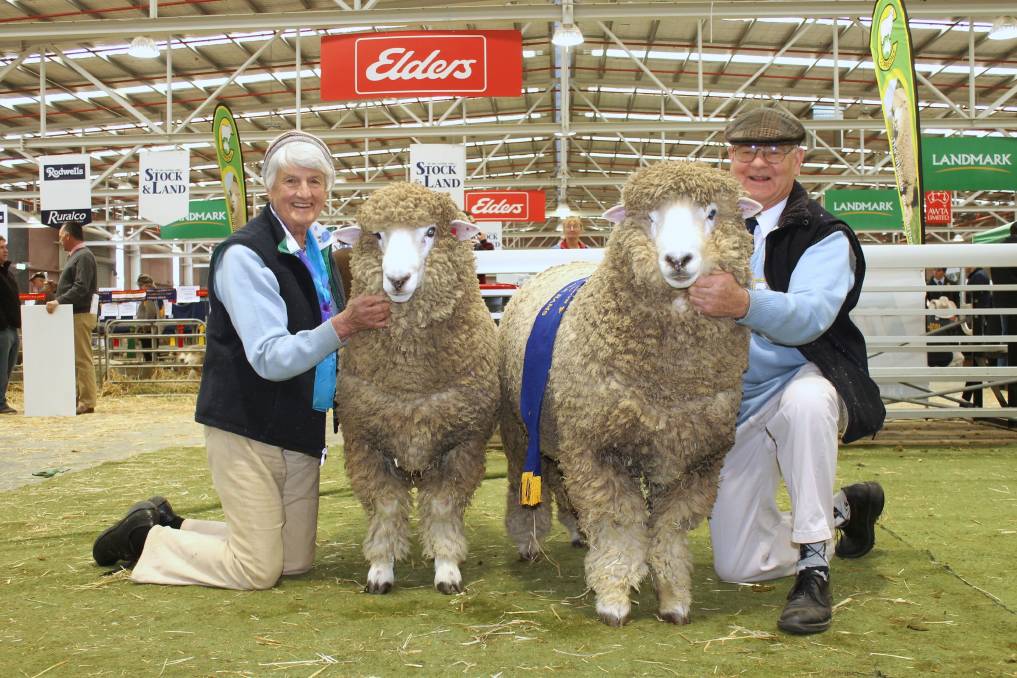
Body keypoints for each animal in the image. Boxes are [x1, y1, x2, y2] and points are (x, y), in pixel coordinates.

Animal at [335, 182, 498, 597]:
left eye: (431, 231)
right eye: (377, 235)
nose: (396, 280)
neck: (410, 379)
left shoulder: (463, 445)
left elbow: (441, 508)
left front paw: (447, 568)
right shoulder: (365, 444)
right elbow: (387, 508)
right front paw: (380, 569)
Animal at [500, 160, 764, 626]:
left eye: (712, 212)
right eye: (650, 216)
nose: (678, 260)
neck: (668, 381)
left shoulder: (697, 458)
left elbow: (669, 529)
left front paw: (673, 596)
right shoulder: (597, 449)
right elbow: (620, 522)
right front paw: (614, 597)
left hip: (558, 428)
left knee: (559, 477)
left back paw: (577, 532)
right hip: (522, 427)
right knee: (524, 482)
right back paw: (529, 540)